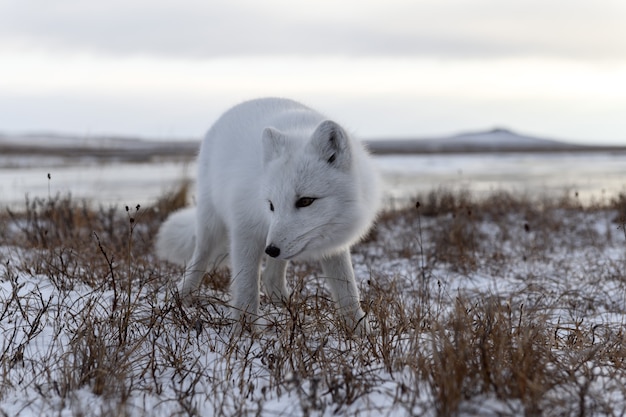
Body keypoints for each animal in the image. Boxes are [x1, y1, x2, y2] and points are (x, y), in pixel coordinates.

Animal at [156, 97, 380, 332]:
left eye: (305, 201)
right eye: (271, 205)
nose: (270, 250)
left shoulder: (333, 245)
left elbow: (348, 291)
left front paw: (361, 332)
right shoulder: (245, 229)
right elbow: (246, 289)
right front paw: (244, 334)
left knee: (271, 278)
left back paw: (287, 306)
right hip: (211, 223)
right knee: (198, 260)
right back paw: (180, 297)